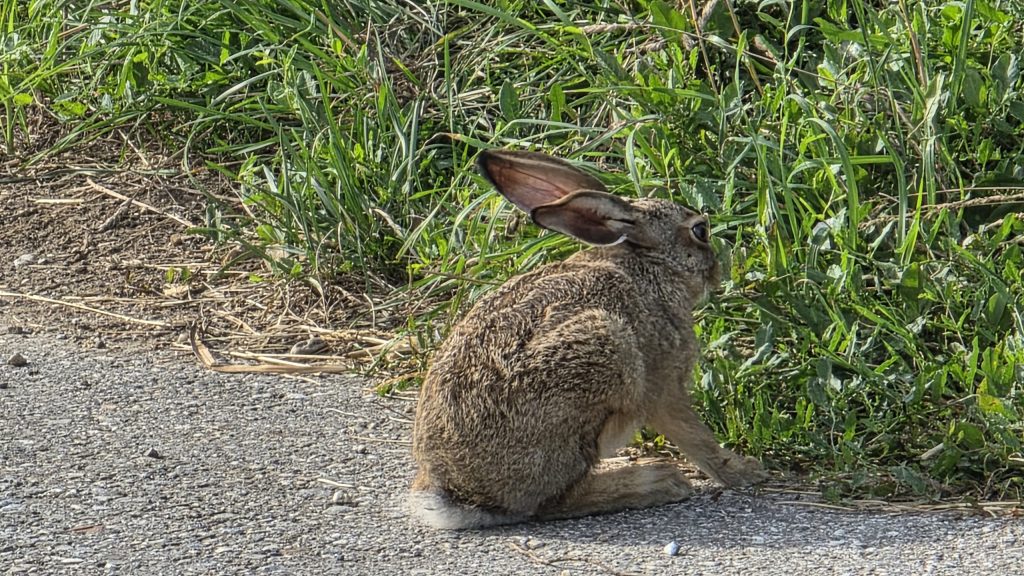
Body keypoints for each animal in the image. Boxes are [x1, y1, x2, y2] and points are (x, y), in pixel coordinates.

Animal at [409, 149, 766, 529]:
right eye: (700, 230)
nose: (717, 269)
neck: (651, 266)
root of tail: (458, 493)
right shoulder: (663, 383)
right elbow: (694, 435)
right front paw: (744, 471)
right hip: (605, 352)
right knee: (552, 502)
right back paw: (656, 481)